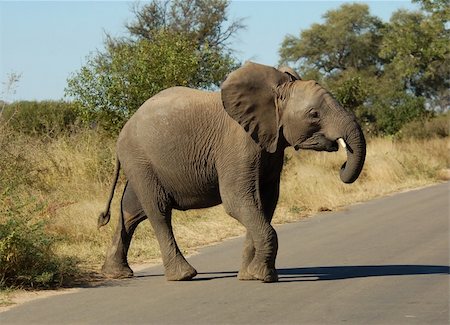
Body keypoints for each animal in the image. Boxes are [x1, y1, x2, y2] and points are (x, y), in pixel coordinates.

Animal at [96, 60, 364, 280]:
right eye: (314, 114)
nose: (342, 164)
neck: (274, 92)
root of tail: (124, 128)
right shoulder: (238, 144)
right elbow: (237, 200)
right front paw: (262, 277)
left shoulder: (270, 147)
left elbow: (265, 202)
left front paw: (250, 275)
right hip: (139, 159)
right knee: (158, 210)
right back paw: (184, 275)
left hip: (141, 163)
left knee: (132, 211)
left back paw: (117, 274)